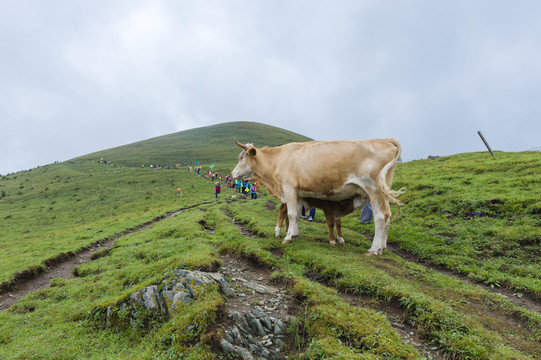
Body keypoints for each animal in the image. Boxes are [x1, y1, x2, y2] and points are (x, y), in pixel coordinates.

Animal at [232, 136, 404, 255]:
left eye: (241, 157)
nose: (232, 173)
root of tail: (386, 140)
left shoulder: (289, 187)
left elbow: (291, 213)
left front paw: (287, 237)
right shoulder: (298, 192)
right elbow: (295, 215)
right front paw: (294, 234)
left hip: (374, 190)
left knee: (381, 217)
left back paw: (374, 249)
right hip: (383, 191)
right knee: (388, 216)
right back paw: (382, 247)